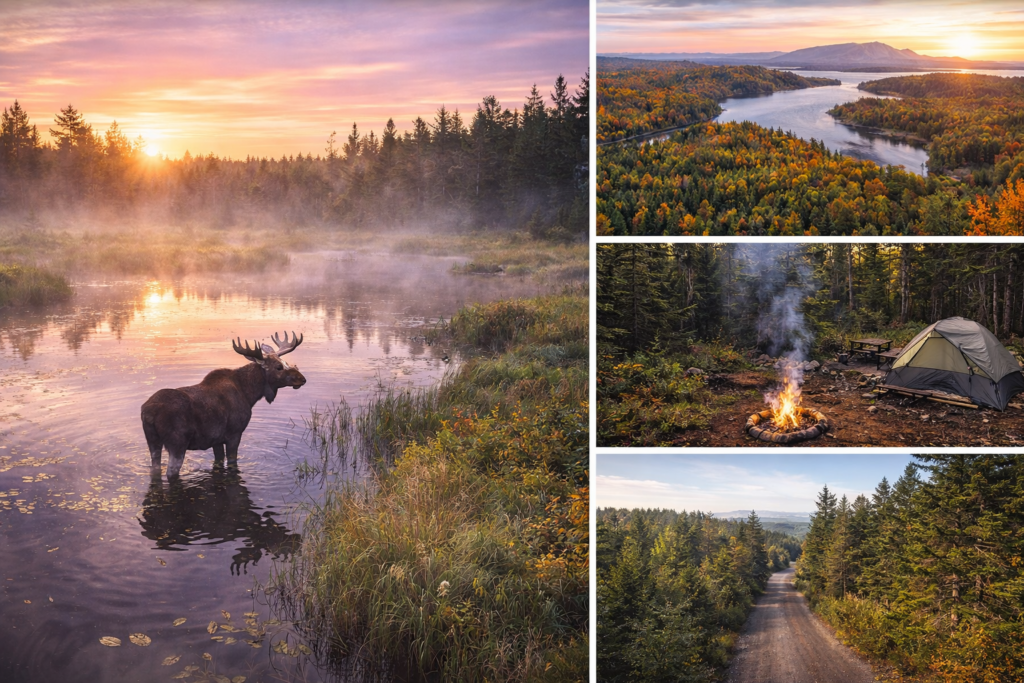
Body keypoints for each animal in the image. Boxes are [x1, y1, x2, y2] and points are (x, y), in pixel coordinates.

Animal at [141, 331, 306, 478]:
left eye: (286, 363)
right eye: (278, 367)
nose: (302, 378)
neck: (249, 394)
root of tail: (149, 412)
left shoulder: (216, 440)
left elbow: (218, 462)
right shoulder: (234, 433)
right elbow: (232, 462)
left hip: (153, 442)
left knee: (155, 470)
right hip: (177, 443)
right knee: (171, 473)